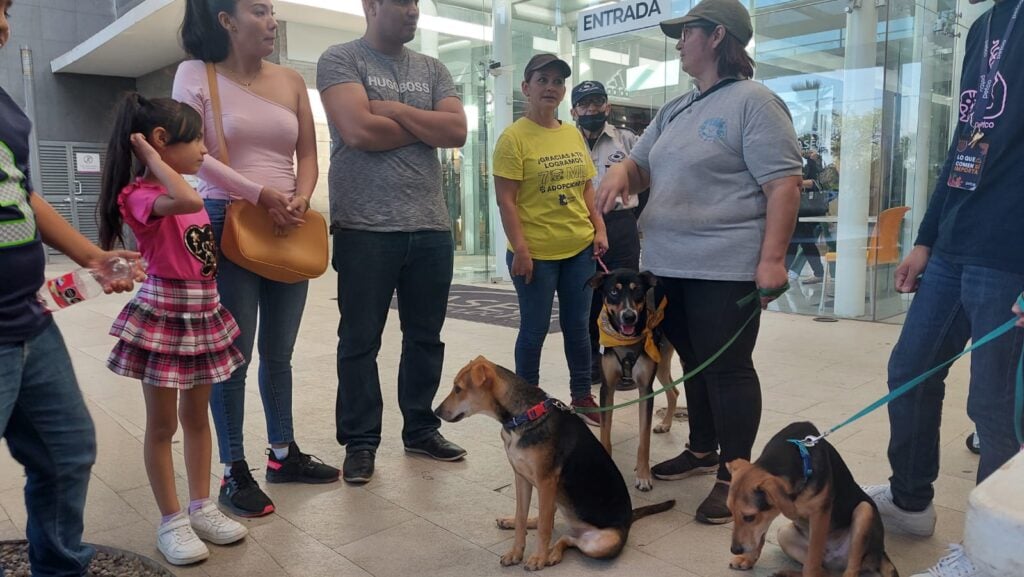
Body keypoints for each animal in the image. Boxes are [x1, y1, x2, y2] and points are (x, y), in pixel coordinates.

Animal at [436, 358, 675, 569]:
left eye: (458, 389)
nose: (436, 412)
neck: (522, 417)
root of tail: (628, 522)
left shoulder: (546, 481)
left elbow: (544, 529)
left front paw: (538, 559)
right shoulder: (522, 478)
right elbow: (522, 517)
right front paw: (516, 552)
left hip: (603, 542)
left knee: (565, 538)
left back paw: (550, 555)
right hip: (558, 501)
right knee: (555, 528)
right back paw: (517, 528)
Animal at [589, 268, 684, 489]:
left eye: (637, 291)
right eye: (613, 292)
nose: (629, 316)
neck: (625, 340)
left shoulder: (645, 389)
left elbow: (644, 439)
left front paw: (643, 476)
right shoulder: (607, 387)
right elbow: (605, 431)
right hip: (661, 364)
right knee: (673, 391)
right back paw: (665, 424)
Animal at [729, 422, 897, 577]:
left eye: (749, 517)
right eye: (731, 513)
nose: (734, 550)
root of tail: (882, 553)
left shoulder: (819, 514)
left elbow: (813, 557)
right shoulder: (770, 513)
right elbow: (760, 535)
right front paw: (748, 559)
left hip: (864, 511)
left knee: (848, 569)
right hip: (783, 533)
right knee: (824, 572)